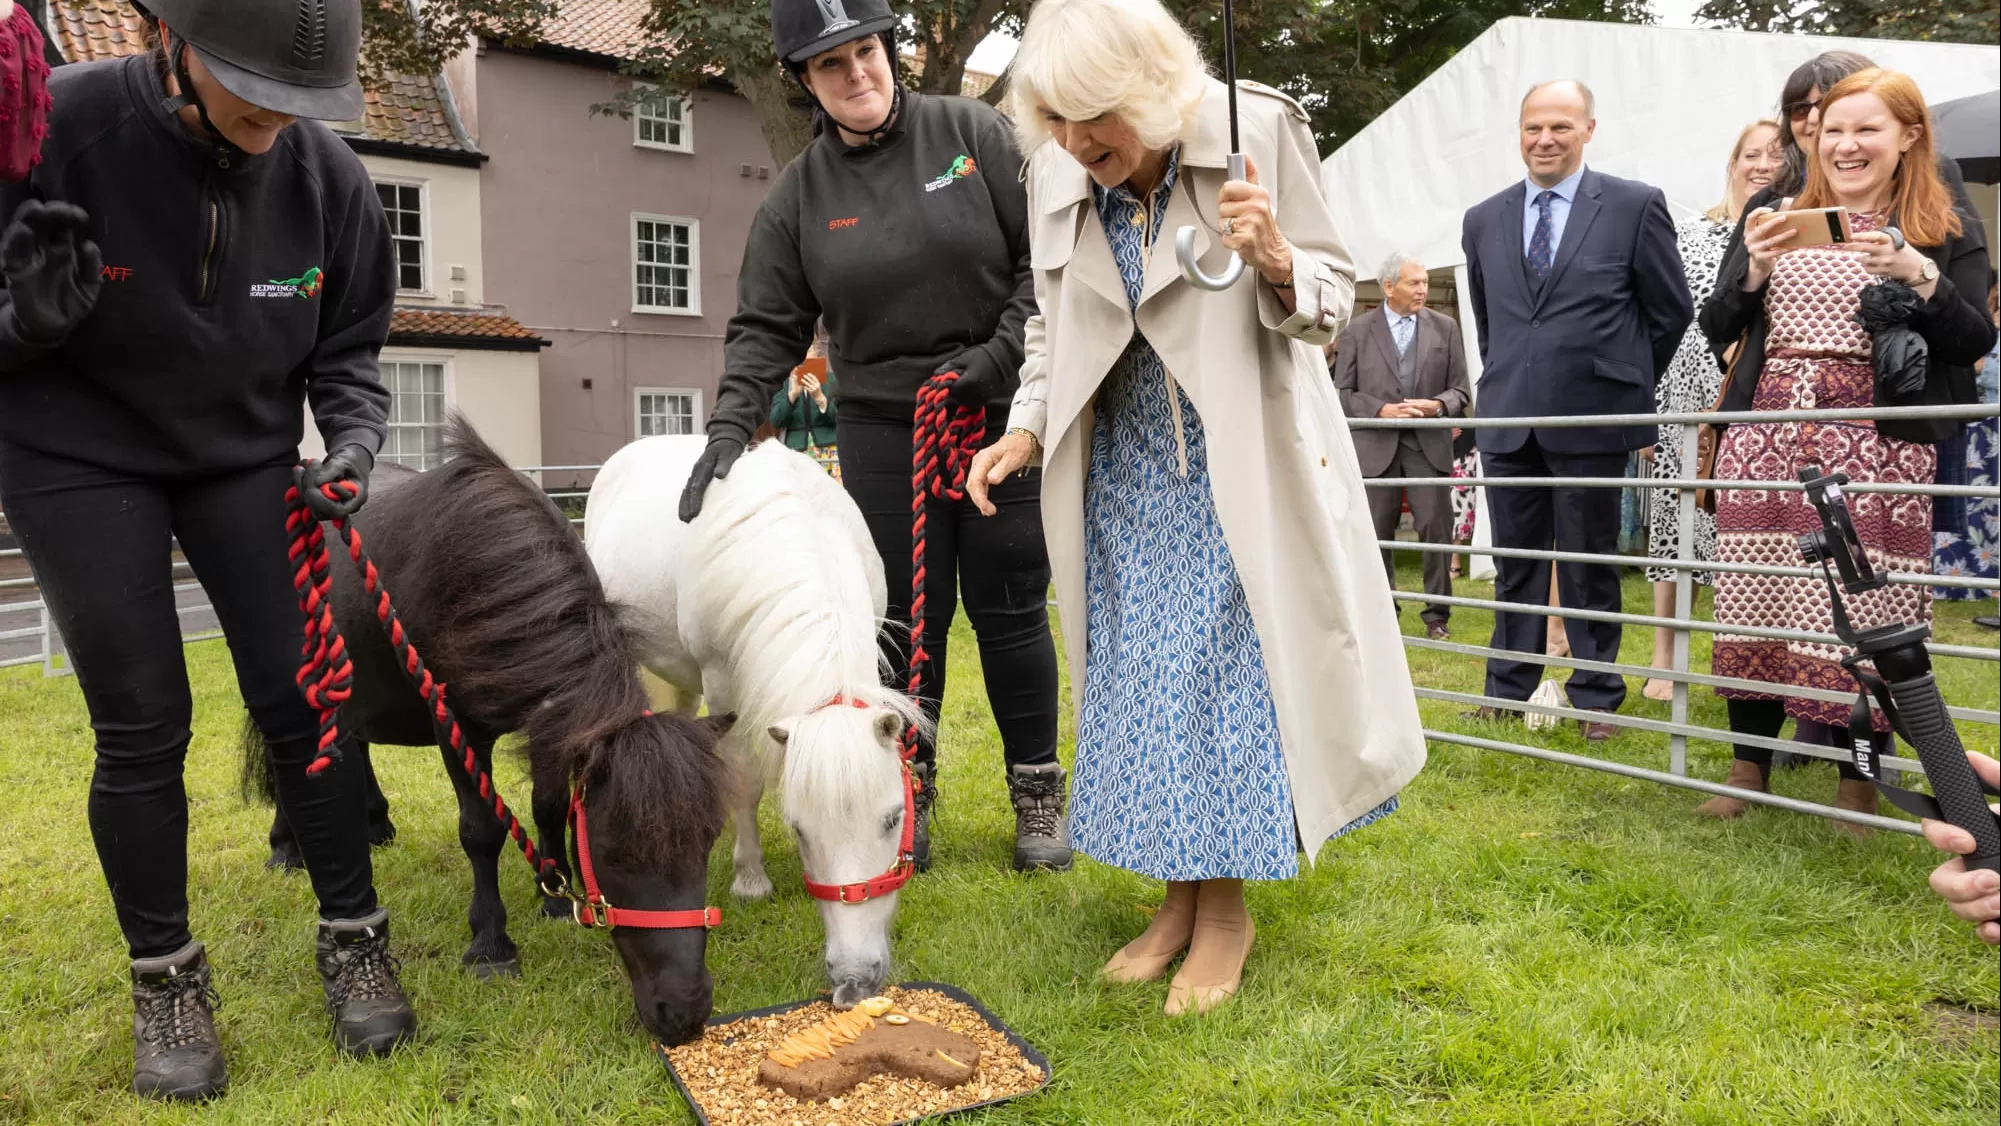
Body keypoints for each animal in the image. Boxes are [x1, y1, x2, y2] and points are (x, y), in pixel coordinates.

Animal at [249, 424, 732, 1048]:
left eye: (708, 842)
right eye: (614, 851)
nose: (686, 1013)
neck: (484, 579)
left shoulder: (552, 722)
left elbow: (548, 805)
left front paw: (554, 891)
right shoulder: (455, 725)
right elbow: (480, 831)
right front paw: (491, 943)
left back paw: (375, 823)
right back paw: (286, 847)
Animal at [580, 436, 920, 1008]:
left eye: (894, 819)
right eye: (799, 829)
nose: (853, 981)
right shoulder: (723, 685)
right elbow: (744, 781)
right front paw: (751, 879)